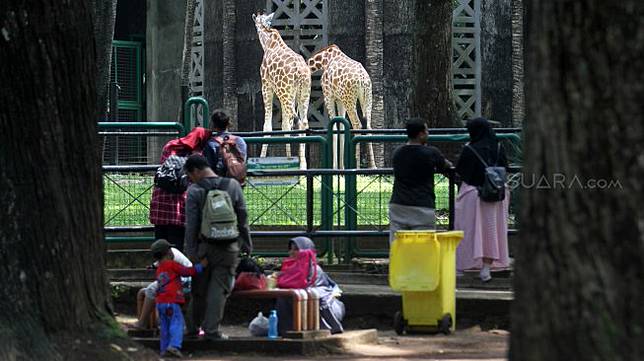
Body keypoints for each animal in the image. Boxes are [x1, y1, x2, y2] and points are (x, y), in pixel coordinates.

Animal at [253, 11, 310, 168]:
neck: (268, 43)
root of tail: (300, 72)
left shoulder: (266, 86)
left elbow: (268, 126)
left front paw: (261, 159)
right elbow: (285, 125)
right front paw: (289, 158)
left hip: (286, 92)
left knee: (296, 121)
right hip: (302, 94)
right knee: (303, 122)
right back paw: (303, 164)